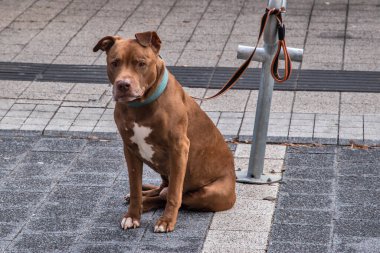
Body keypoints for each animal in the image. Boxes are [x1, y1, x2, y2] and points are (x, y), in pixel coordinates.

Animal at [93, 31, 235, 233]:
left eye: (141, 63)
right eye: (114, 62)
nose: (123, 84)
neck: (140, 106)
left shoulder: (179, 149)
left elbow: (174, 194)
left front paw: (166, 221)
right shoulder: (130, 150)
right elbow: (135, 187)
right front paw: (132, 215)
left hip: (210, 193)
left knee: (169, 195)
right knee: (160, 190)